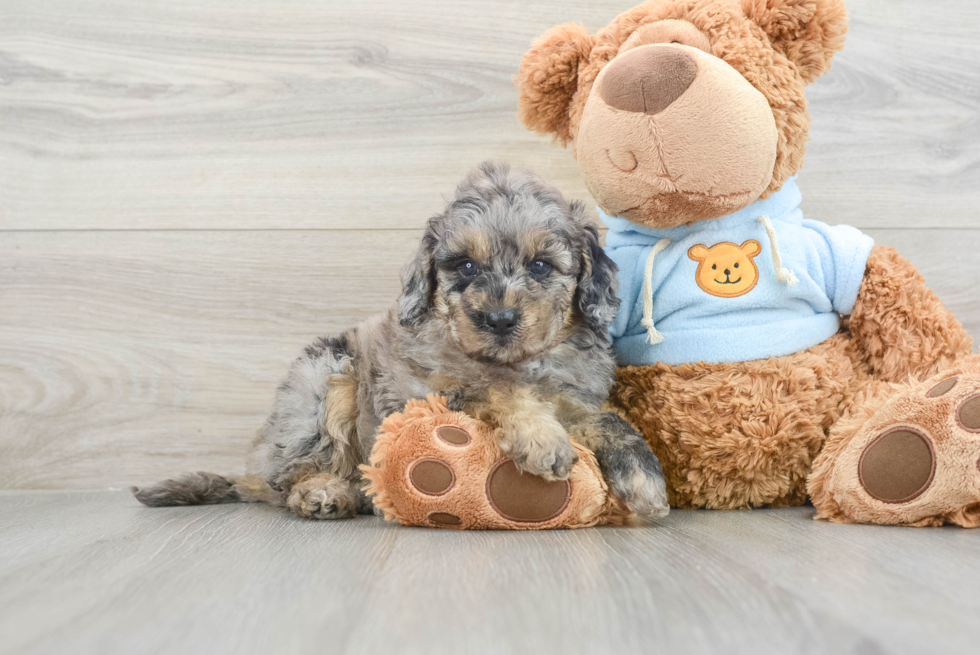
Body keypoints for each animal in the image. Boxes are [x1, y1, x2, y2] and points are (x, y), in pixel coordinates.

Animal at [134, 163, 668, 524]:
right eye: (465, 266)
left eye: (540, 266)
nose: (498, 319)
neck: (515, 361)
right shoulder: (430, 394)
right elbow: (500, 391)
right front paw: (543, 440)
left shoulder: (575, 395)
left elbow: (609, 420)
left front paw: (645, 481)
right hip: (322, 381)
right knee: (291, 477)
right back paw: (323, 492)